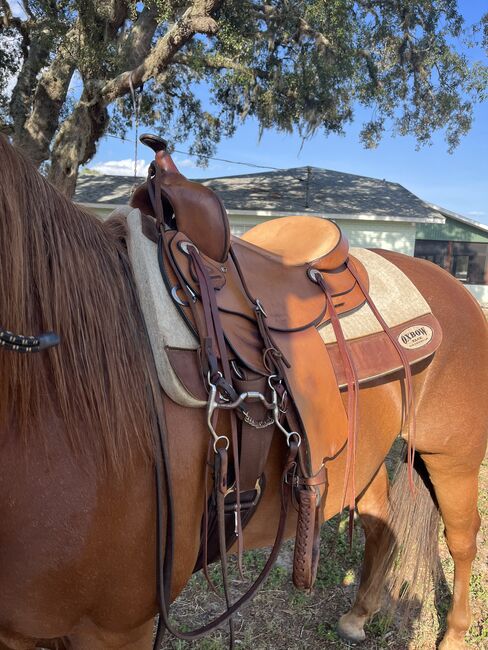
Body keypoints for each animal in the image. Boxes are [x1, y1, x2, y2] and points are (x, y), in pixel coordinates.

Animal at [0, 133, 486, 648]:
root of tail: (450, 284)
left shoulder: (118, 625)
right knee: (382, 523)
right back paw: (359, 613)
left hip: (452, 455)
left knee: (462, 538)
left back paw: (455, 633)